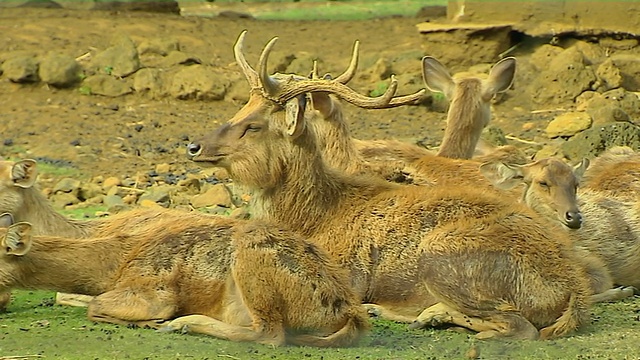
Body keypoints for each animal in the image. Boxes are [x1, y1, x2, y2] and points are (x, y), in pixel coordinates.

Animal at [0, 212, 370, 348]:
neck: (113, 264)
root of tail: (349, 312)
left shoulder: (154, 287)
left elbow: (95, 307)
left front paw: (155, 322)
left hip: (252, 264)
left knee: (270, 333)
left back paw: (183, 324)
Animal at [185, 31, 596, 340]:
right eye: (239, 109)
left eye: (253, 125)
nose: (194, 146)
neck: (312, 216)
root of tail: (572, 288)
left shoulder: (347, 272)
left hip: (442, 255)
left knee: (518, 326)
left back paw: (426, 314)